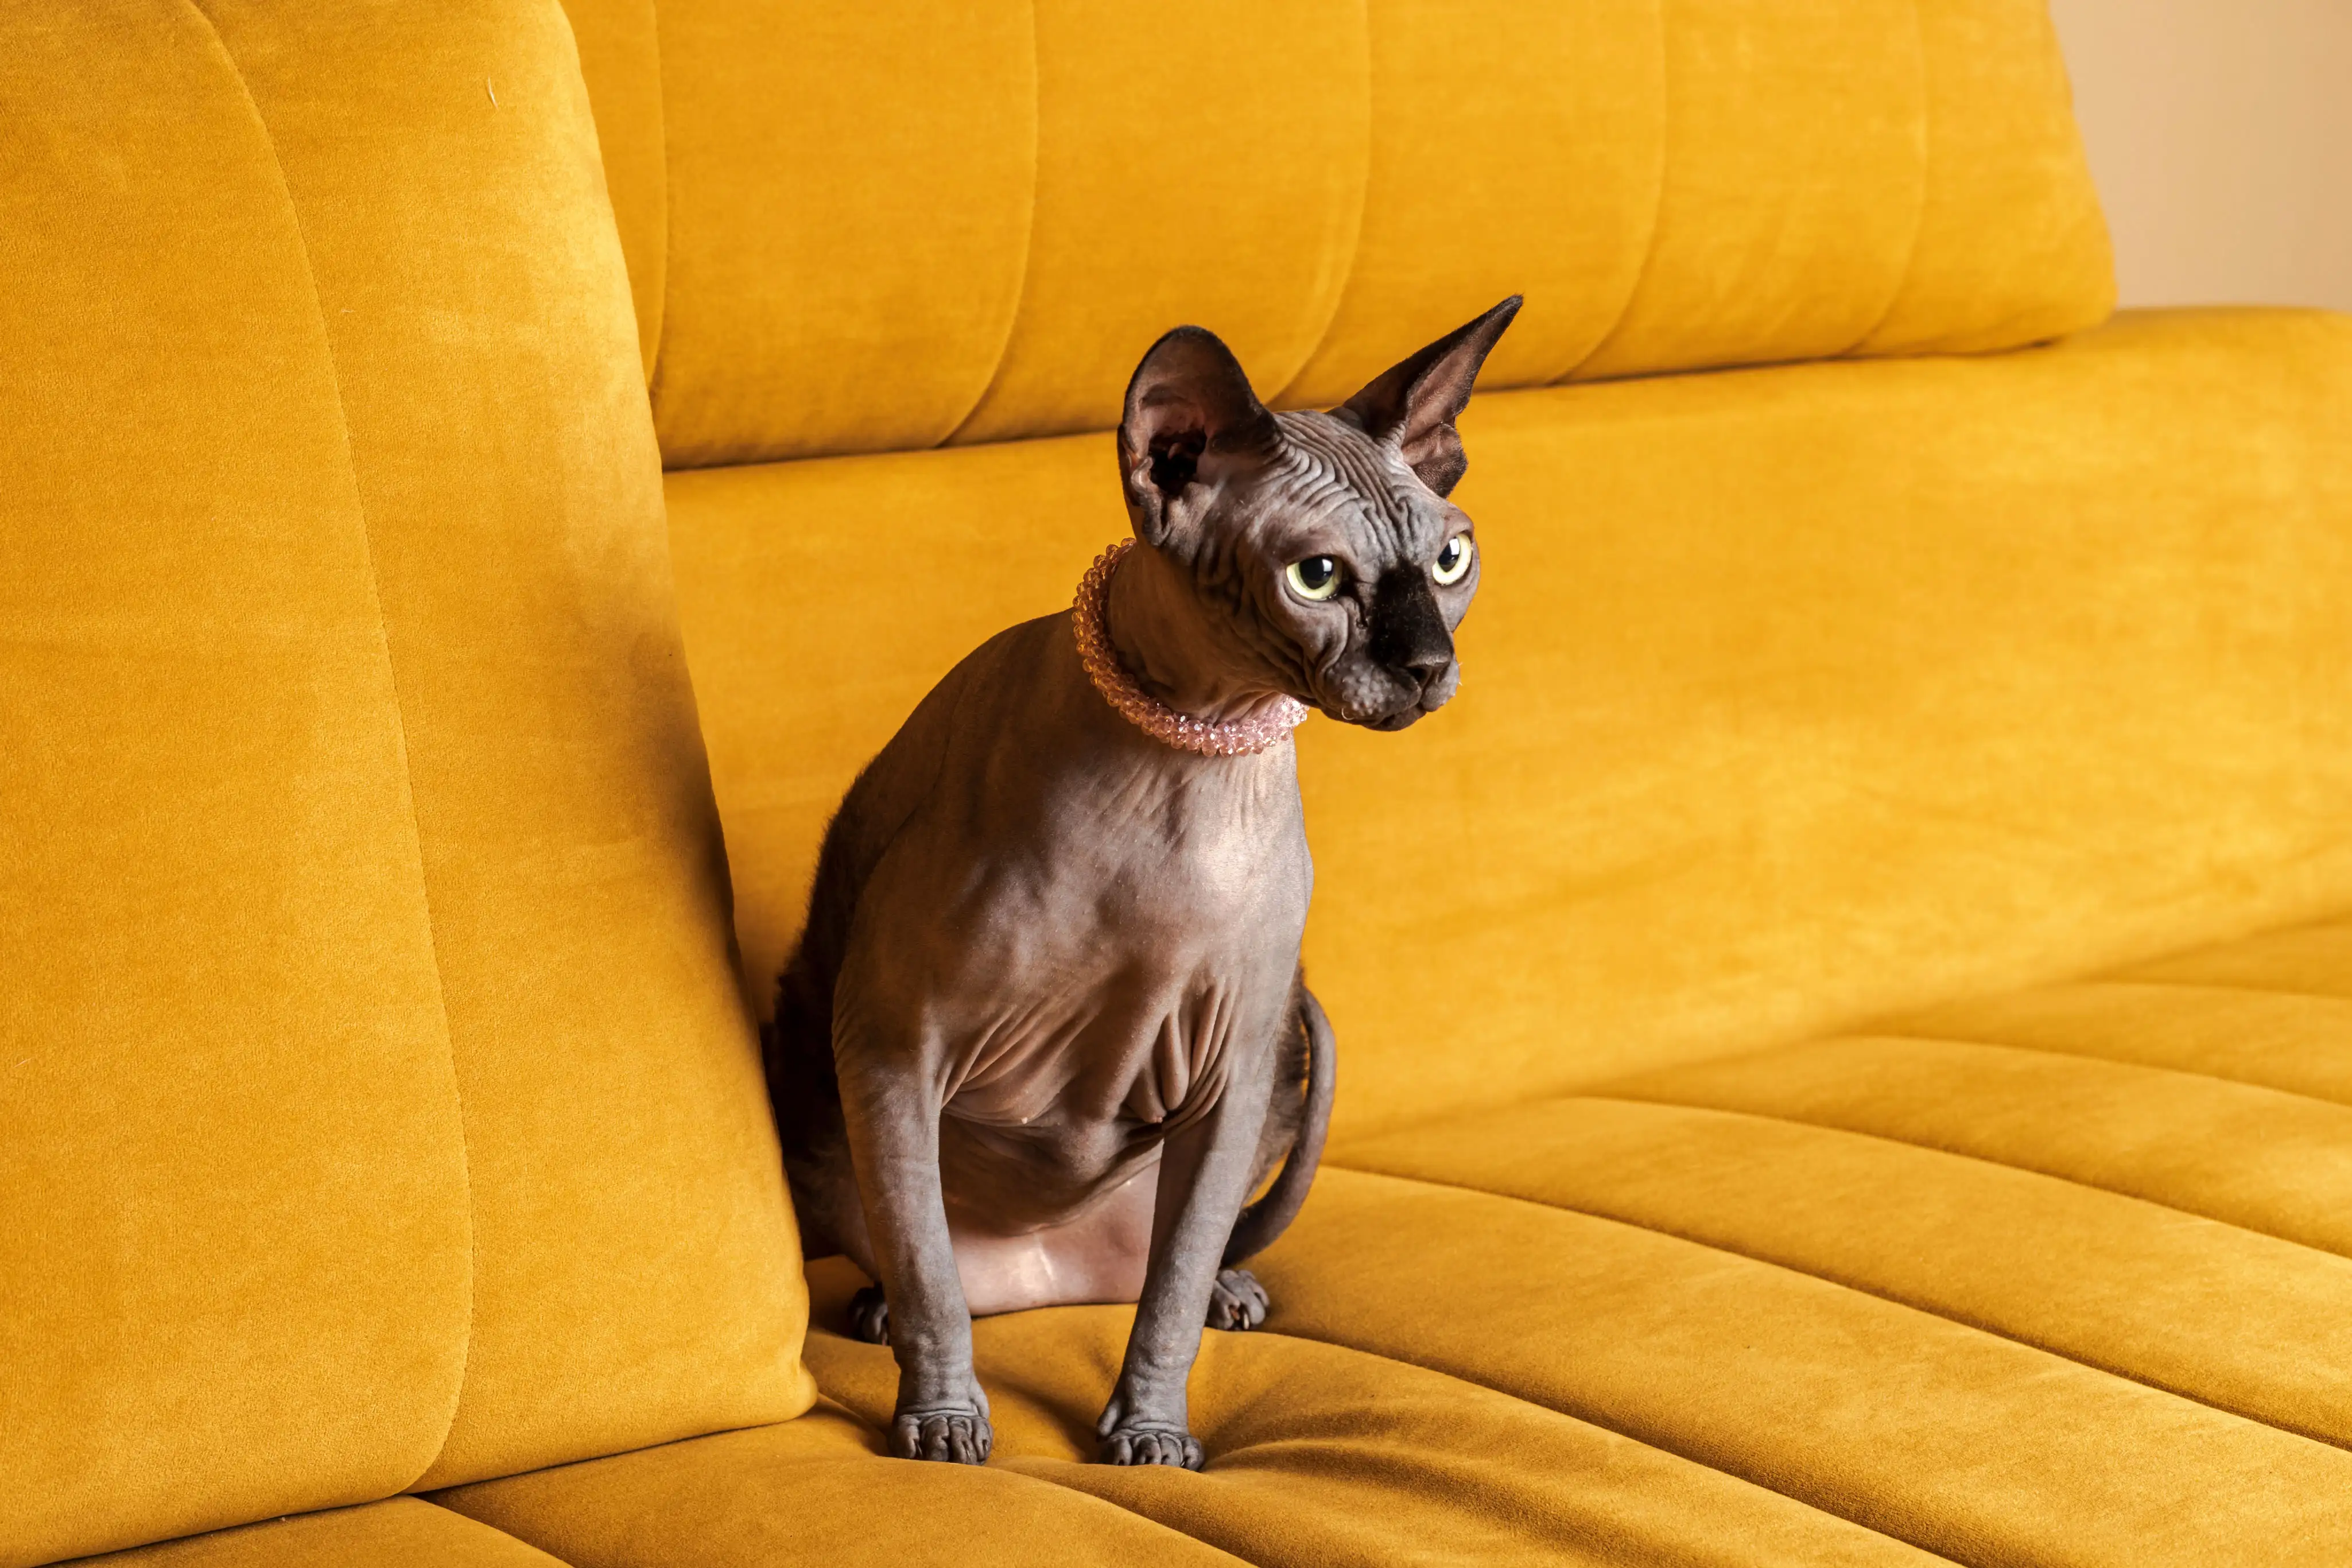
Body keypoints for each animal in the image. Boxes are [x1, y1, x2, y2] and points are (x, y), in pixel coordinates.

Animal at [762, 297, 1515, 1476]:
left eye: (1449, 561)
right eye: (1315, 578)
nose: (1429, 667)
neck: (1197, 750)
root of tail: (1048, 1279)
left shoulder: (1232, 1071)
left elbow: (1167, 1295)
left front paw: (1153, 1432)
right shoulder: (891, 1044)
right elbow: (929, 1275)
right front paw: (942, 1418)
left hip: (1280, 1064)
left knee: (1177, 1262)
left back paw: (1231, 1289)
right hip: (816, 1080)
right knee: (916, 1257)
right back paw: (881, 1311)